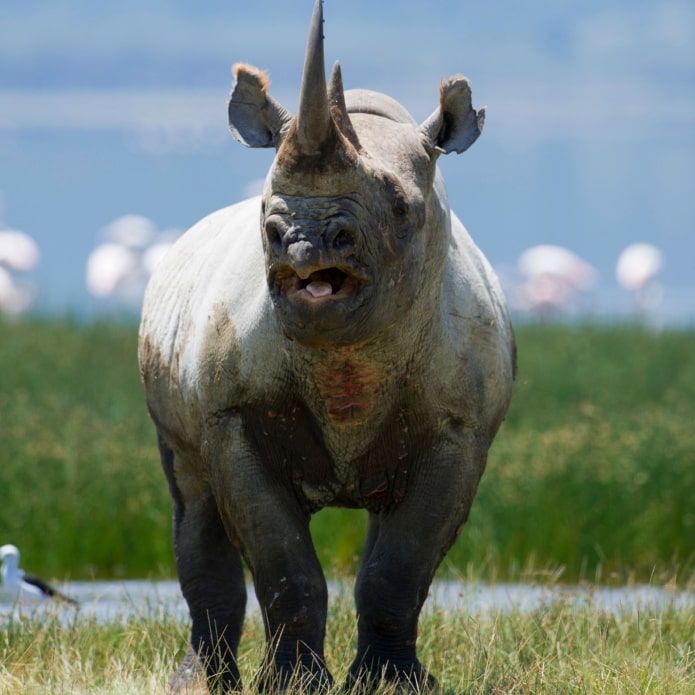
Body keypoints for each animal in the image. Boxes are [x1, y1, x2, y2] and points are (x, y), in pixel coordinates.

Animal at [138, 1, 515, 692]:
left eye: (402, 208)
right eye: (267, 208)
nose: (301, 239)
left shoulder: (460, 427)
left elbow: (400, 566)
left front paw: (391, 684)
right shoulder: (233, 416)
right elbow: (283, 564)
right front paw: (292, 684)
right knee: (192, 497)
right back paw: (201, 682)